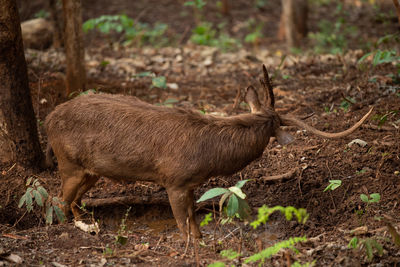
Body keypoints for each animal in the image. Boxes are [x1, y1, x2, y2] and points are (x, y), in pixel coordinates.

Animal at [45, 65, 374, 241]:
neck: (208, 160)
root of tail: (48, 118)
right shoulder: (173, 179)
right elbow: (184, 226)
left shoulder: (190, 184)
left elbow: (194, 222)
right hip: (68, 161)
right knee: (59, 200)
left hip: (90, 170)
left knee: (73, 200)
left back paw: (89, 224)